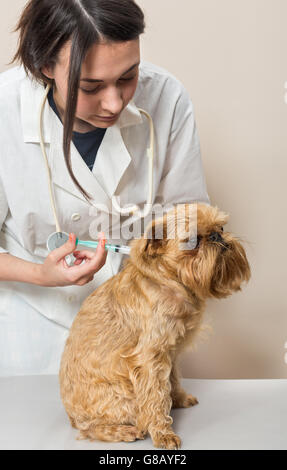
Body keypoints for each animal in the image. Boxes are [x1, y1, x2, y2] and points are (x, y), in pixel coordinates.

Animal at [59, 202, 252, 448]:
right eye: (193, 241)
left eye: (222, 227)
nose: (217, 236)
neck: (170, 281)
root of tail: (70, 415)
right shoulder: (149, 358)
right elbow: (155, 397)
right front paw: (163, 433)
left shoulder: (172, 351)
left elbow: (173, 379)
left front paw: (179, 398)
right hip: (122, 399)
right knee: (89, 429)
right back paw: (123, 431)